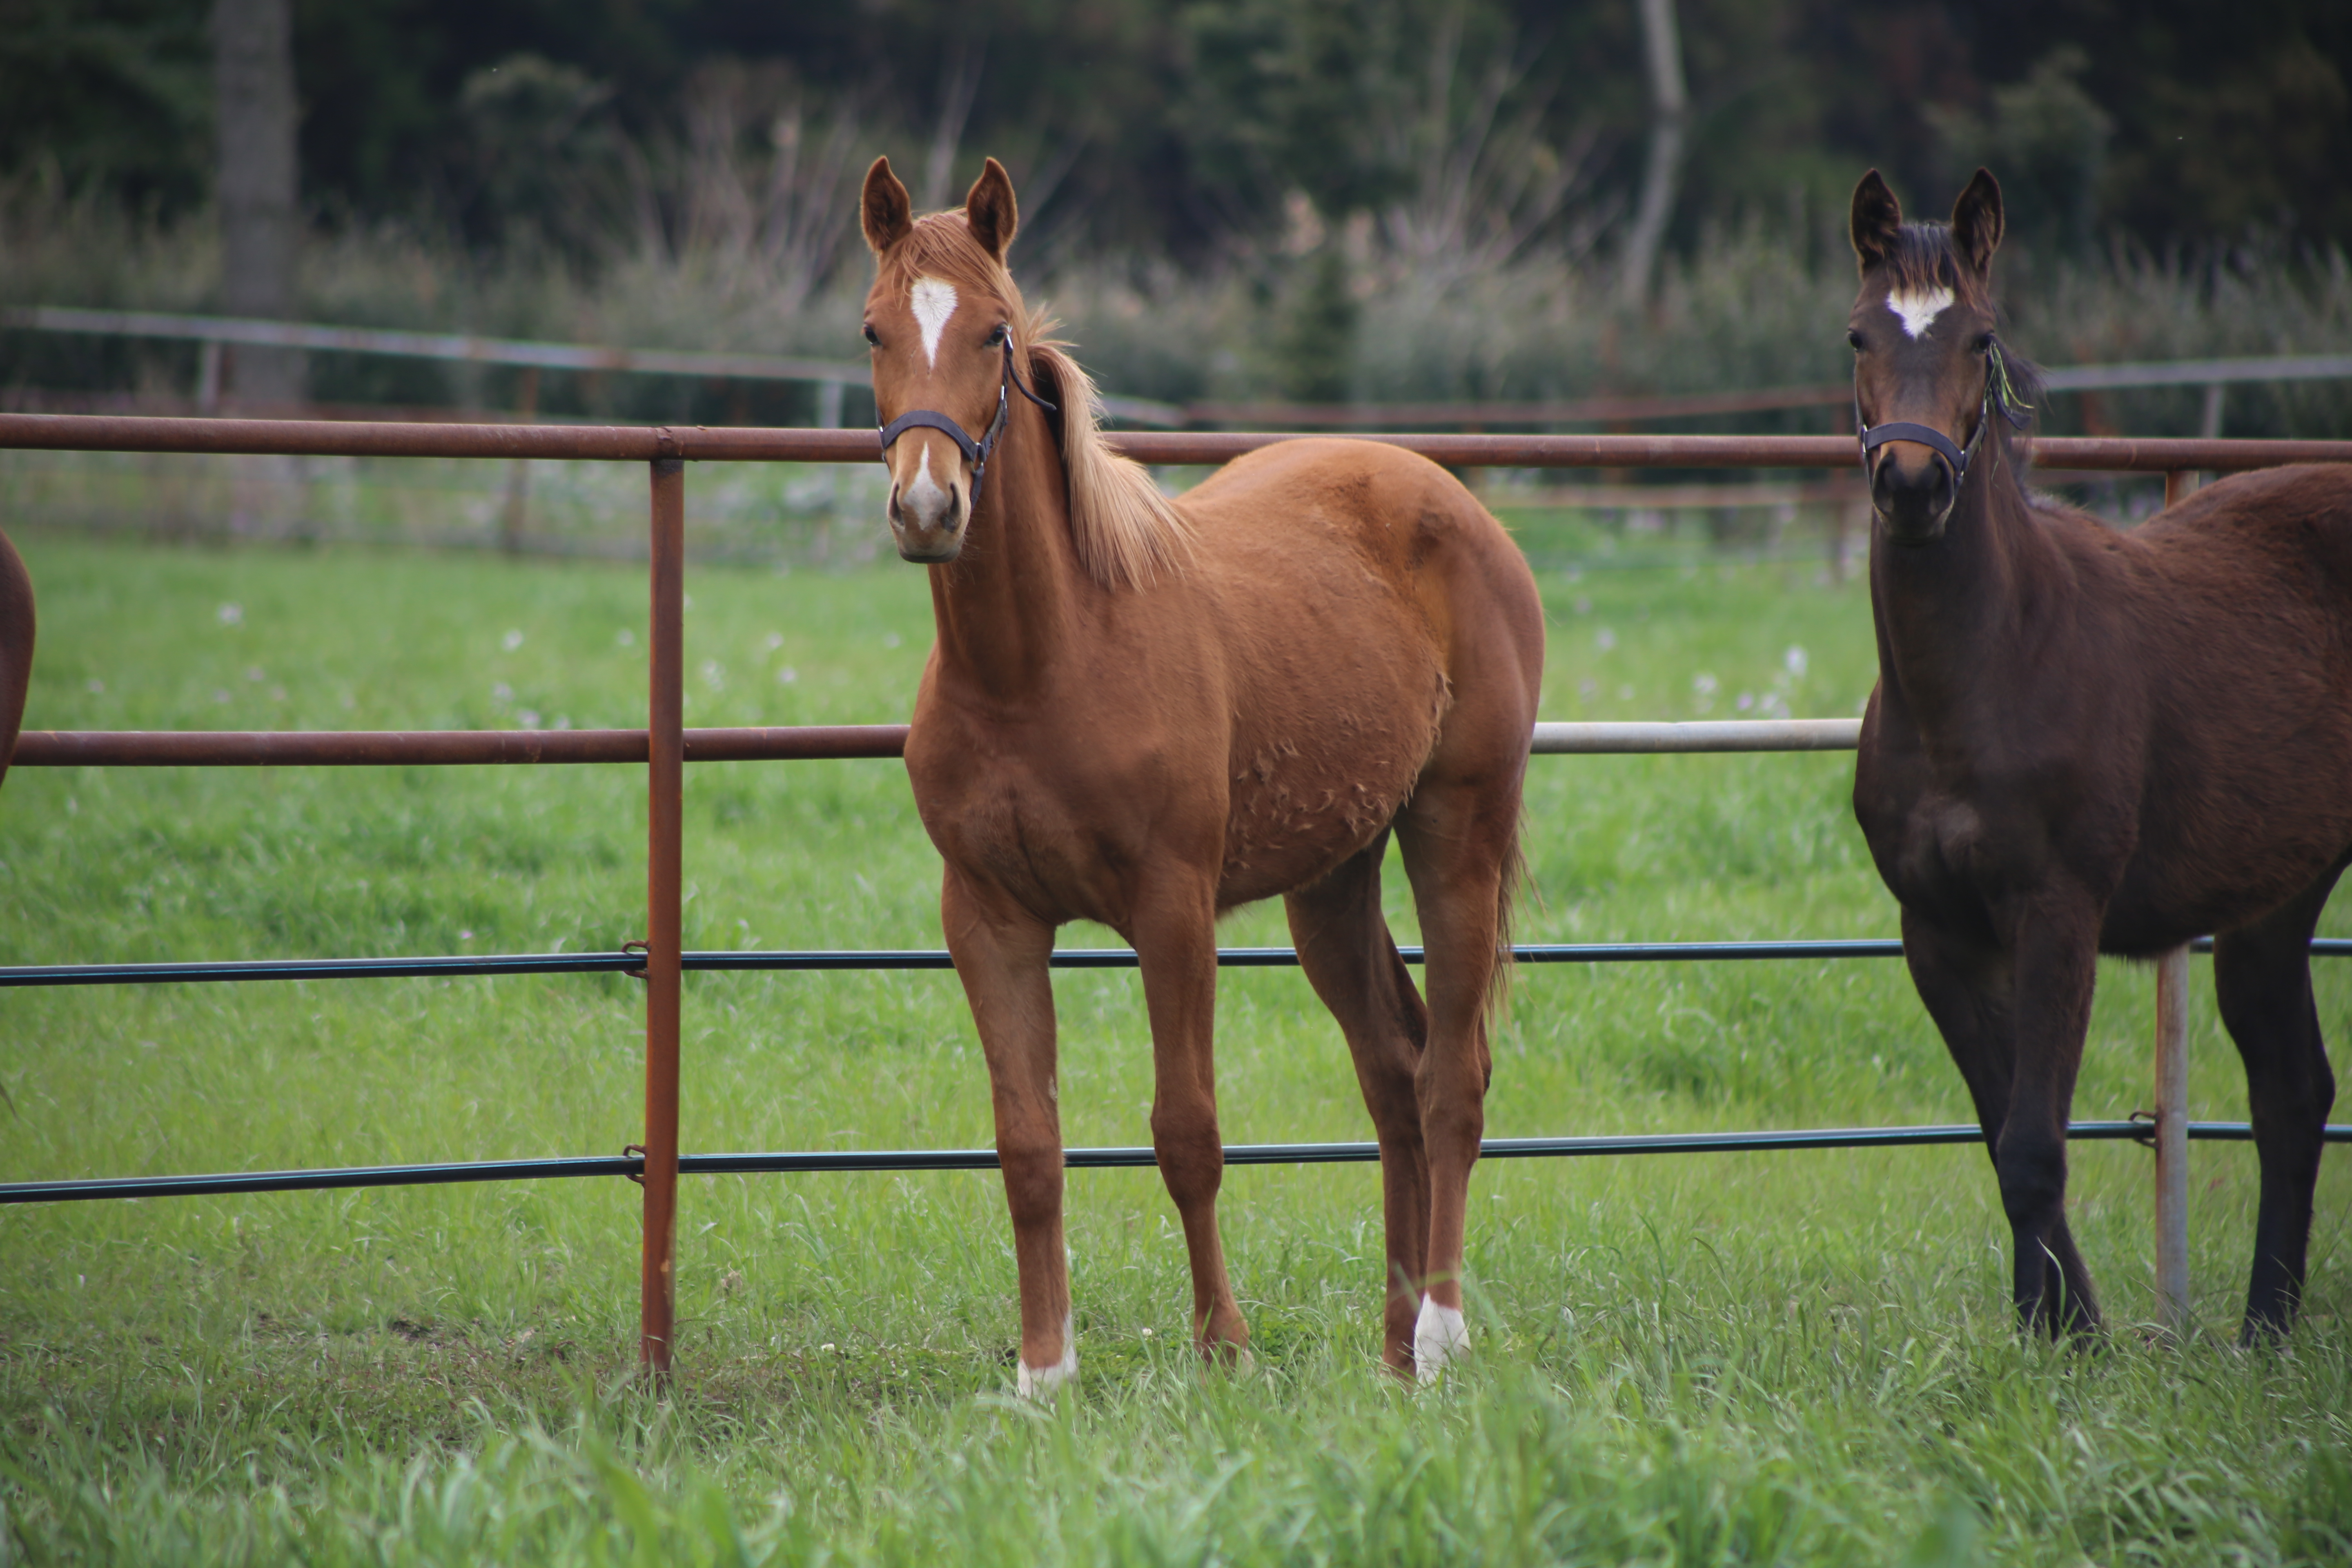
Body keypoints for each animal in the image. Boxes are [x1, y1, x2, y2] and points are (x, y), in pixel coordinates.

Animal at [861, 160, 1543, 1382]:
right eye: (873, 329)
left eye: (992, 332)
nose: (929, 507)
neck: (1039, 663)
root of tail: (1455, 502)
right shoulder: (986, 918)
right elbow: (1027, 1143)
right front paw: (1043, 1371)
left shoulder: (1171, 911)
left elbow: (1187, 1132)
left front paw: (1222, 1346)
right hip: (1333, 880)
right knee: (1394, 1073)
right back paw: (1390, 1348)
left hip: (1455, 831)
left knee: (1452, 1079)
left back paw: (1439, 1332)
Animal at [1853, 172, 2352, 1354]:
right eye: (1857, 334)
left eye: (1979, 338)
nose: (1910, 487)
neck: (1985, 668)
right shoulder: (1937, 934)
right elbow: (2000, 1133)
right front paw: (2058, 1329)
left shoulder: (2057, 915)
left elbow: (2034, 1144)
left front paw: (2068, 1351)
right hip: (2276, 895)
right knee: (2291, 1091)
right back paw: (2263, 1334)